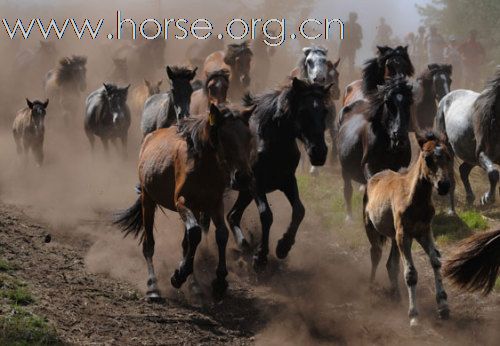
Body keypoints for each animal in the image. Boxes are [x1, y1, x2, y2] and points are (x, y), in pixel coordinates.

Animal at [113, 102, 254, 300]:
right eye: (223, 137)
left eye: (249, 136)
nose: (244, 178)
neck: (203, 166)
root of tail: (149, 136)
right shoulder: (182, 202)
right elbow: (194, 233)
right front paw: (178, 275)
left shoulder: (214, 204)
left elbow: (221, 234)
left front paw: (219, 281)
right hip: (148, 200)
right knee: (149, 244)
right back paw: (153, 286)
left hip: (193, 208)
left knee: (186, 244)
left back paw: (194, 285)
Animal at [227, 78, 332, 270]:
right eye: (303, 111)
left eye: (325, 111)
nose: (319, 152)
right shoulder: (256, 184)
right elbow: (266, 215)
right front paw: (260, 256)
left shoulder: (287, 181)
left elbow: (299, 210)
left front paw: (284, 246)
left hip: (244, 193)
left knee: (232, 216)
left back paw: (243, 244)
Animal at [364, 130, 454, 328]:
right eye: (427, 158)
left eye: (449, 156)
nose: (444, 185)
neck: (415, 199)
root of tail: (373, 177)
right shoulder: (404, 235)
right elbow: (411, 273)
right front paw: (413, 316)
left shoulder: (423, 232)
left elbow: (435, 260)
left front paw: (443, 306)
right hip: (372, 229)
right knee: (376, 254)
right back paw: (371, 286)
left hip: (395, 237)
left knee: (391, 263)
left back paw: (396, 295)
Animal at [434, 64, 500, 211]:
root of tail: (445, 98)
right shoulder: (482, 152)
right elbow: (493, 173)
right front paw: (487, 199)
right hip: (449, 148)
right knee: (452, 177)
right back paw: (452, 209)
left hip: (470, 156)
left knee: (463, 170)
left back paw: (470, 198)